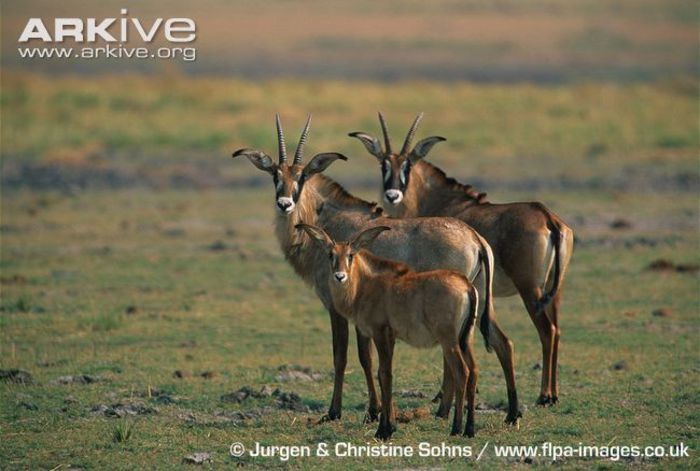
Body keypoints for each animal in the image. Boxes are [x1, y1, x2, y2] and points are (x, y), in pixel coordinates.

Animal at [296, 223, 482, 440]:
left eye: (350, 255)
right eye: (330, 254)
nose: (340, 276)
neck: (366, 285)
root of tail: (467, 286)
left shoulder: (380, 332)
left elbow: (384, 373)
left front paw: (384, 429)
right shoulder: (391, 337)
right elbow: (385, 373)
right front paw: (388, 424)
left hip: (449, 341)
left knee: (462, 372)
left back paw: (456, 428)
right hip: (465, 339)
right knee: (474, 371)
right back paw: (470, 429)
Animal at [350, 113, 576, 406]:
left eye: (408, 166)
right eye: (383, 165)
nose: (392, 195)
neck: (439, 200)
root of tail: (548, 217)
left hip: (530, 289)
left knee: (547, 331)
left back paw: (544, 395)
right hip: (553, 290)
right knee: (557, 330)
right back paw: (554, 393)